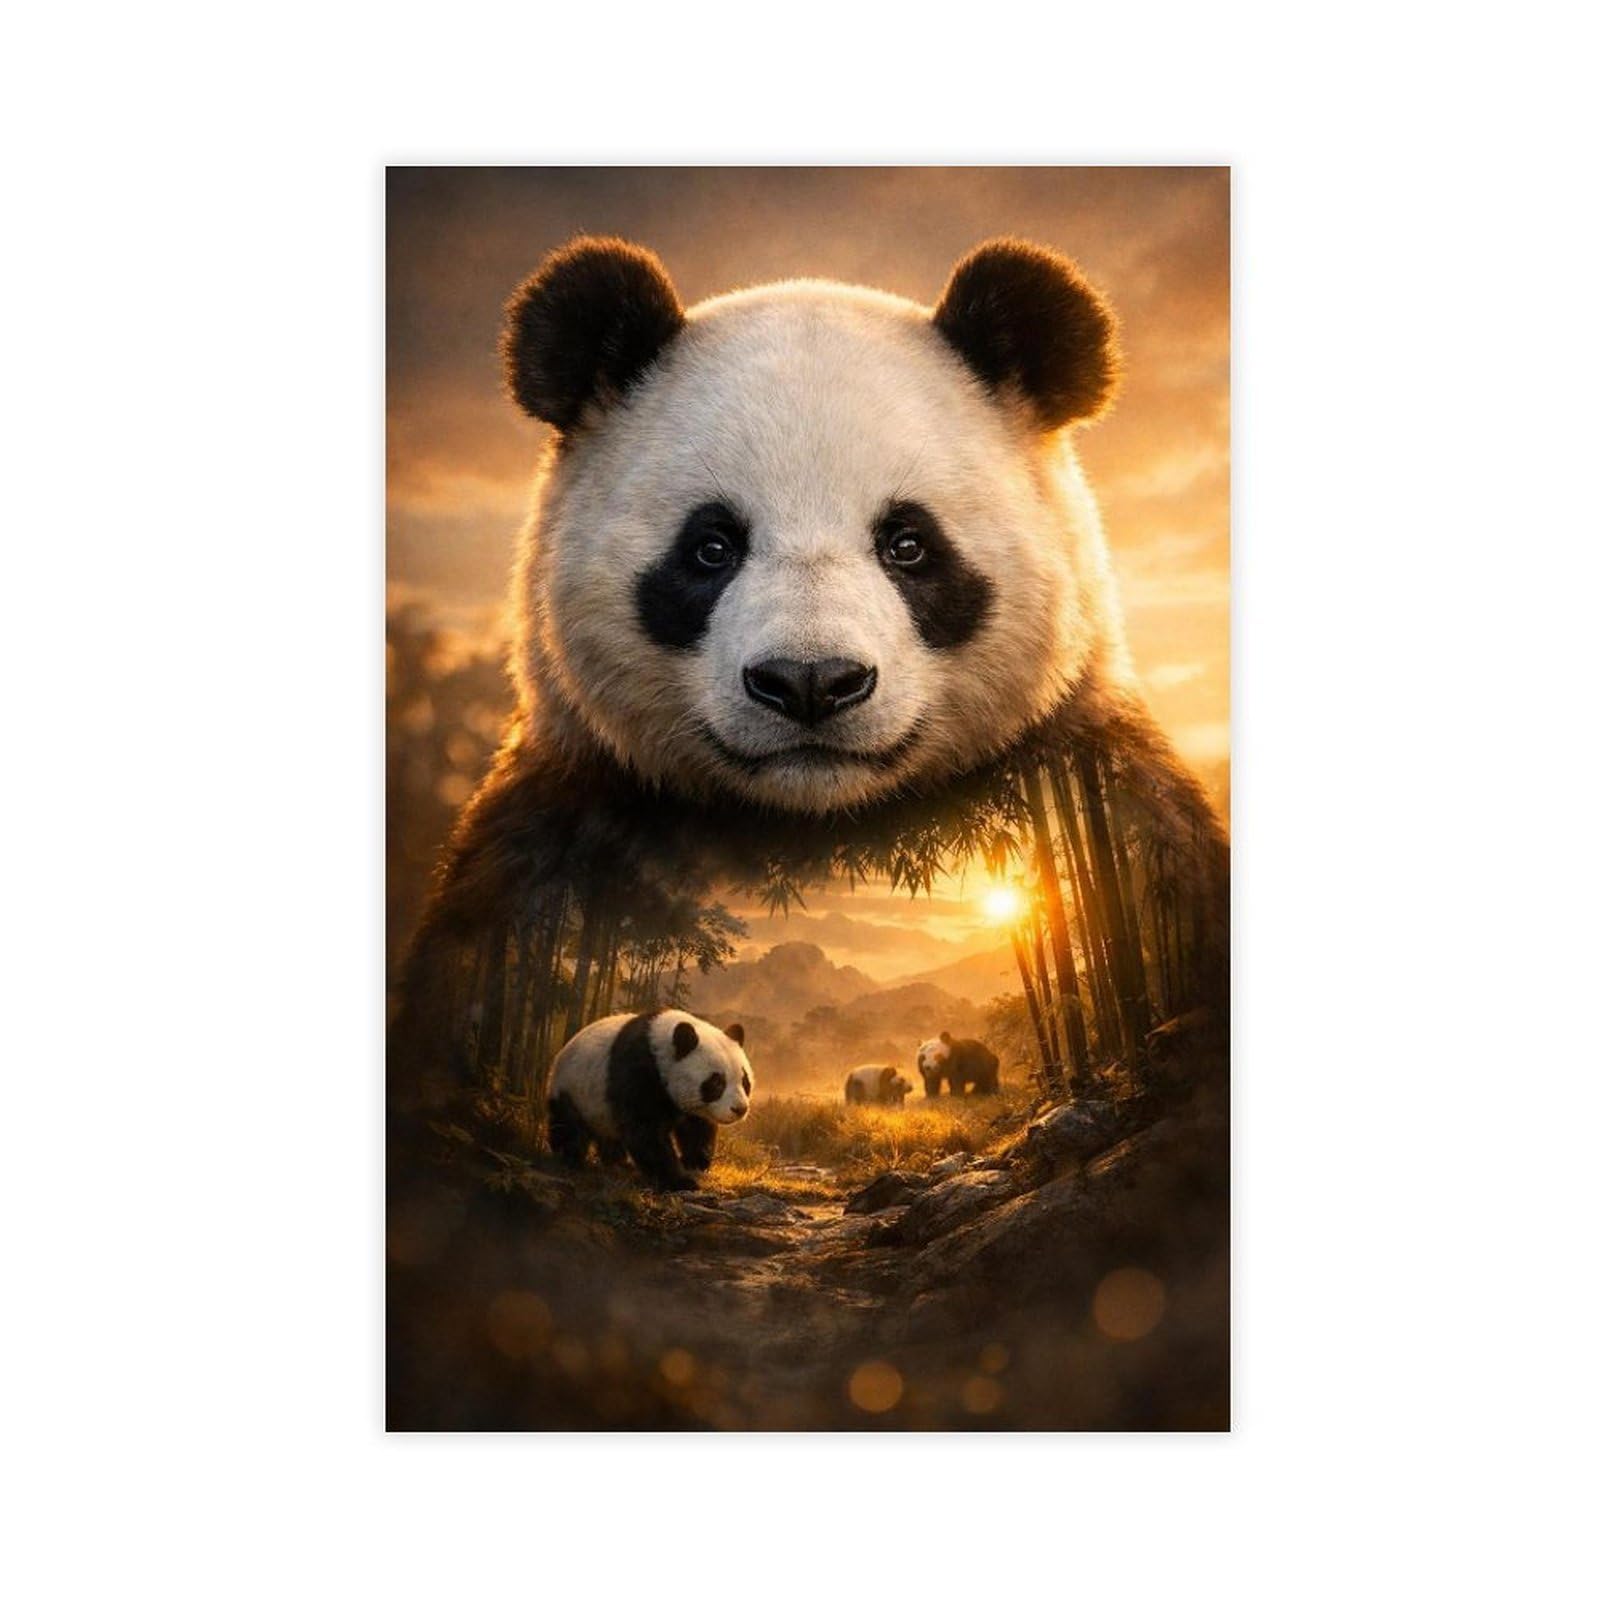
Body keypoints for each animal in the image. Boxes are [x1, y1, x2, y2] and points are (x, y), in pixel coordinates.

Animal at [393, 235, 1227, 1100]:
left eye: (908, 543)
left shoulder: (1089, 760)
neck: (818, 816)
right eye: (711, 547)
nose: (810, 682)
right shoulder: (564, 803)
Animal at [547, 1010, 751, 1191]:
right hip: (572, 1089)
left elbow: (696, 1127)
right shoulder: (638, 1071)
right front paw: (680, 1181)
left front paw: (696, 1164)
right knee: (568, 1127)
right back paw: (570, 1159)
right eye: (717, 1083)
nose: (739, 1109)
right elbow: (646, 1131)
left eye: (745, 1081)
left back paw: (617, 1162)